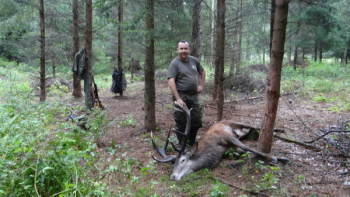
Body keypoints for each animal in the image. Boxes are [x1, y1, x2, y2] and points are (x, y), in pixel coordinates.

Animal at [151, 102, 290, 181]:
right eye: (173, 163)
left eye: (183, 160)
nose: (172, 177)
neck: (215, 150)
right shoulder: (233, 147)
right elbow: (245, 151)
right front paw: (279, 158)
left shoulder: (227, 137)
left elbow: (251, 149)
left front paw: (276, 158)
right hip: (240, 133)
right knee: (249, 131)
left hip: (234, 122)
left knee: (253, 125)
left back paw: (280, 129)